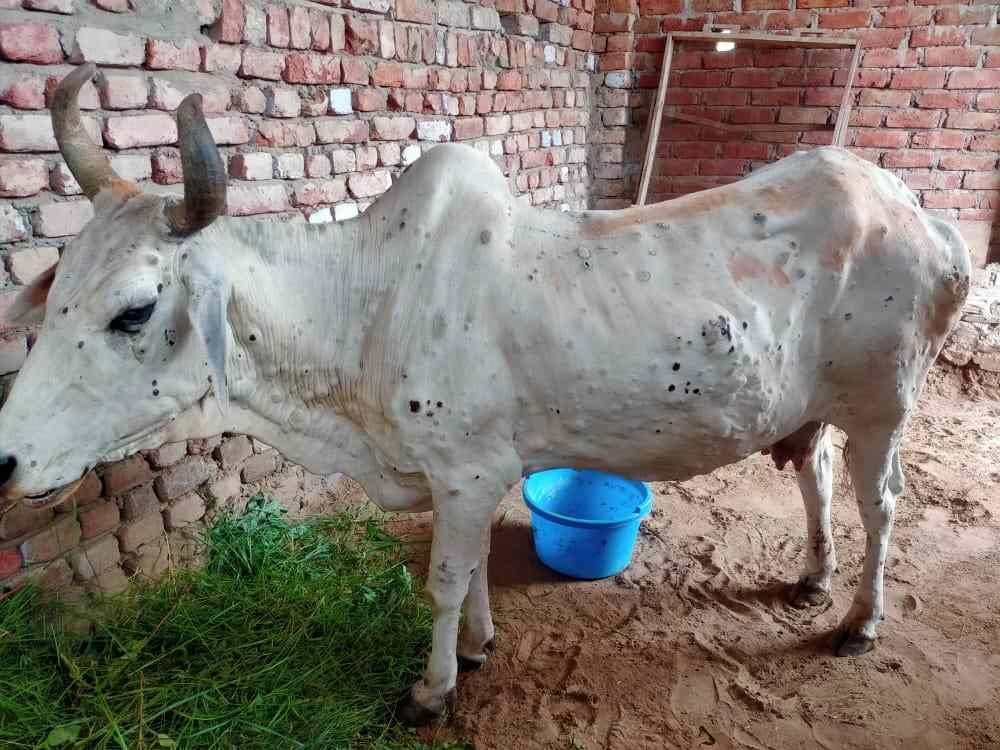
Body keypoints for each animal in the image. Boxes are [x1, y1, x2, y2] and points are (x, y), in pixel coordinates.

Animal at [0, 64, 971, 724]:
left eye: (134, 311)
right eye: (60, 287)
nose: (6, 459)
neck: (367, 304)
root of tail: (918, 210)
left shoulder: (466, 471)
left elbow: (438, 578)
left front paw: (430, 689)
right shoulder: (458, 476)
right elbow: (466, 575)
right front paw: (476, 646)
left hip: (884, 406)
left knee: (881, 504)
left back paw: (861, 620)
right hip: (816, 406)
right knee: (814, 474)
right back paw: (813, 576)